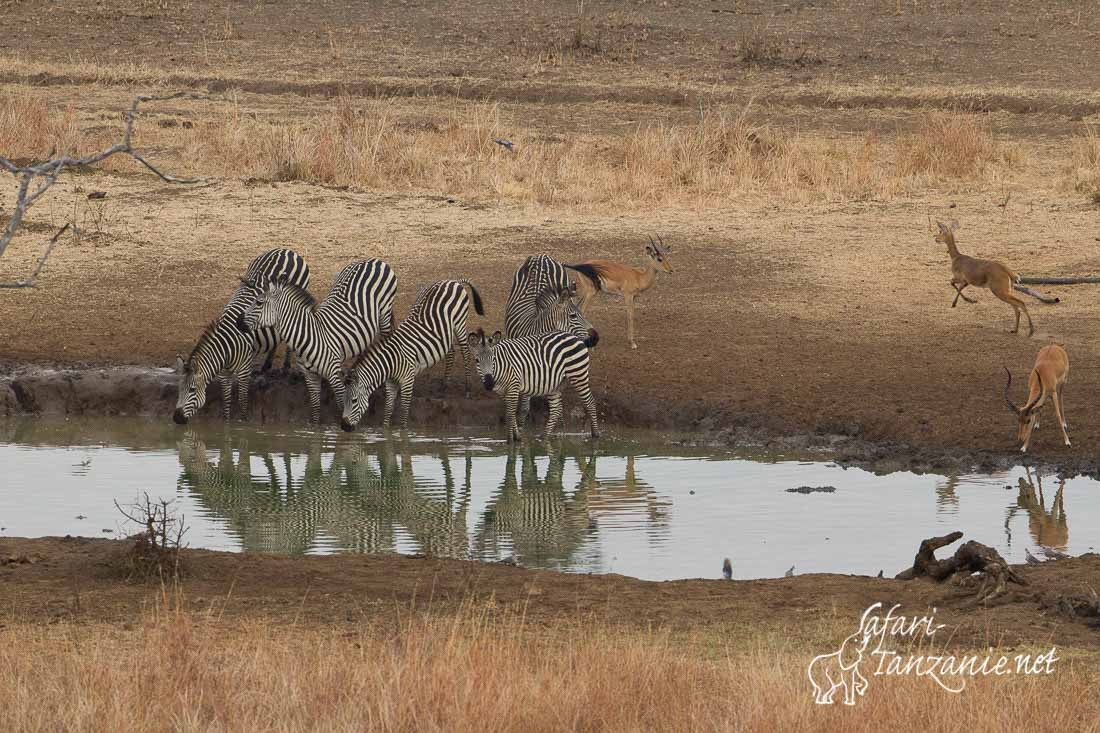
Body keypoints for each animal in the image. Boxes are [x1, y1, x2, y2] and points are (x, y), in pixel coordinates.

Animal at [171, 246, 310, 422]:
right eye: (179, 389)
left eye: (192, 390)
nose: (177, 418)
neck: (226, 346)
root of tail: (286, 250)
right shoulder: (224, 373)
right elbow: (226, 402)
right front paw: (226, 423)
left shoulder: (244, 371)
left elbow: (243, 402)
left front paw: (242, 422)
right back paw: (266, 365)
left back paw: (285, 368)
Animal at [238, 256, 398, 422]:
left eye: (259, 302)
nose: (238, 322)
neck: (309, 338)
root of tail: (371, 259)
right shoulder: (310, 377)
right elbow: (315, 409)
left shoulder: (334, 376)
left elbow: (341, 406)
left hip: (385, 312)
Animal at [341, 278, 484, 429]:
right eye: (343, 399)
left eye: (354, 400)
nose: (343, 427)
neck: (391, 361)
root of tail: (451, 281)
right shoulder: (391, 383)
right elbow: (388, 410)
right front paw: (385, 430)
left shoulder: (408, 381)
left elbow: (404, 412)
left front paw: (403, 431)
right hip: (446, 332)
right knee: (451, 352)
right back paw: (444, 387)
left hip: (460, 323)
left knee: (465, 352)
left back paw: (467, 389)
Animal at [466, 325, 598, 440]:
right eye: (477, 360)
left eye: (493, 359)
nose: (489, 384)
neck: (501, 367)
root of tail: (575, 336)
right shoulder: (502, 392)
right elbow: (511, 413)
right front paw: (517, 437)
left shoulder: (514, 386)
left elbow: (510, 414)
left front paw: (511, 441)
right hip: (554, 383)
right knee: (556, 409)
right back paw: (543, 437)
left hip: (578, 374)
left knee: (590, 402)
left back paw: (595, 434)